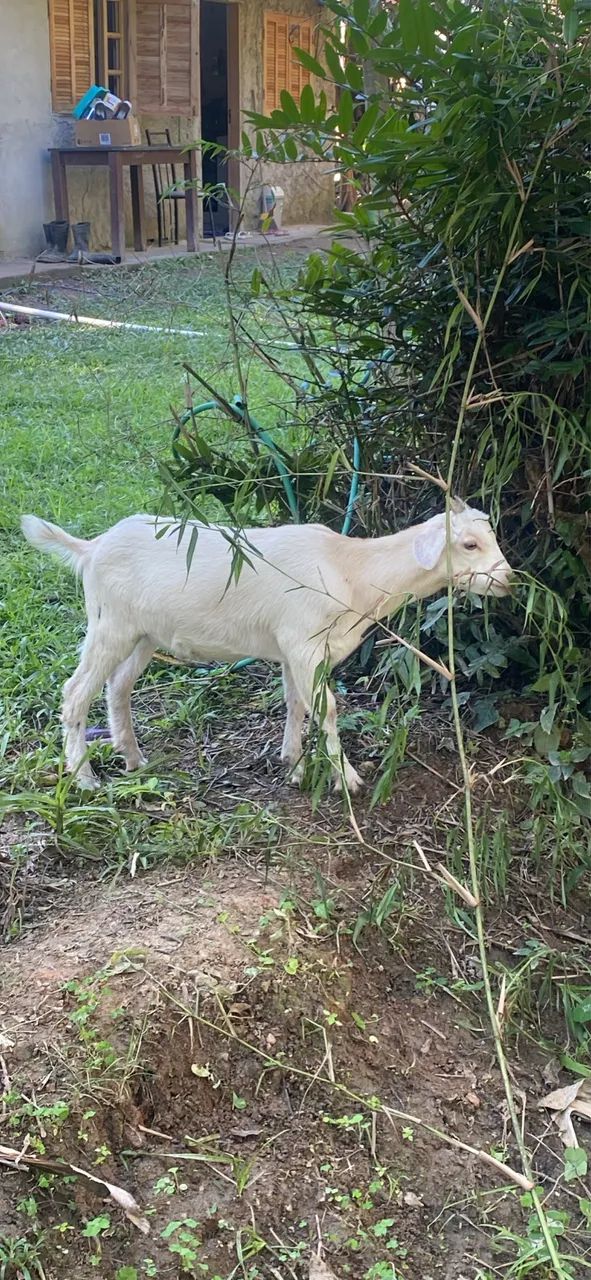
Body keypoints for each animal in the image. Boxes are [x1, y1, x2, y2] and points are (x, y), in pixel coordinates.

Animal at [21, 504, 512, 792]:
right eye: (469, 544)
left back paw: (134, 759)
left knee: (117, 687)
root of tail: (91, 547)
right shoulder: (304, 644)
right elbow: (327, 709)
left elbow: (296, 704)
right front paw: (347, 780)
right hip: (110, 624)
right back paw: (84, 778)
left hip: (143, 633)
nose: (510, 579)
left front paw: (293, 764)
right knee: (75, 692)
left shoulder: (294, 650)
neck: (351, 570)